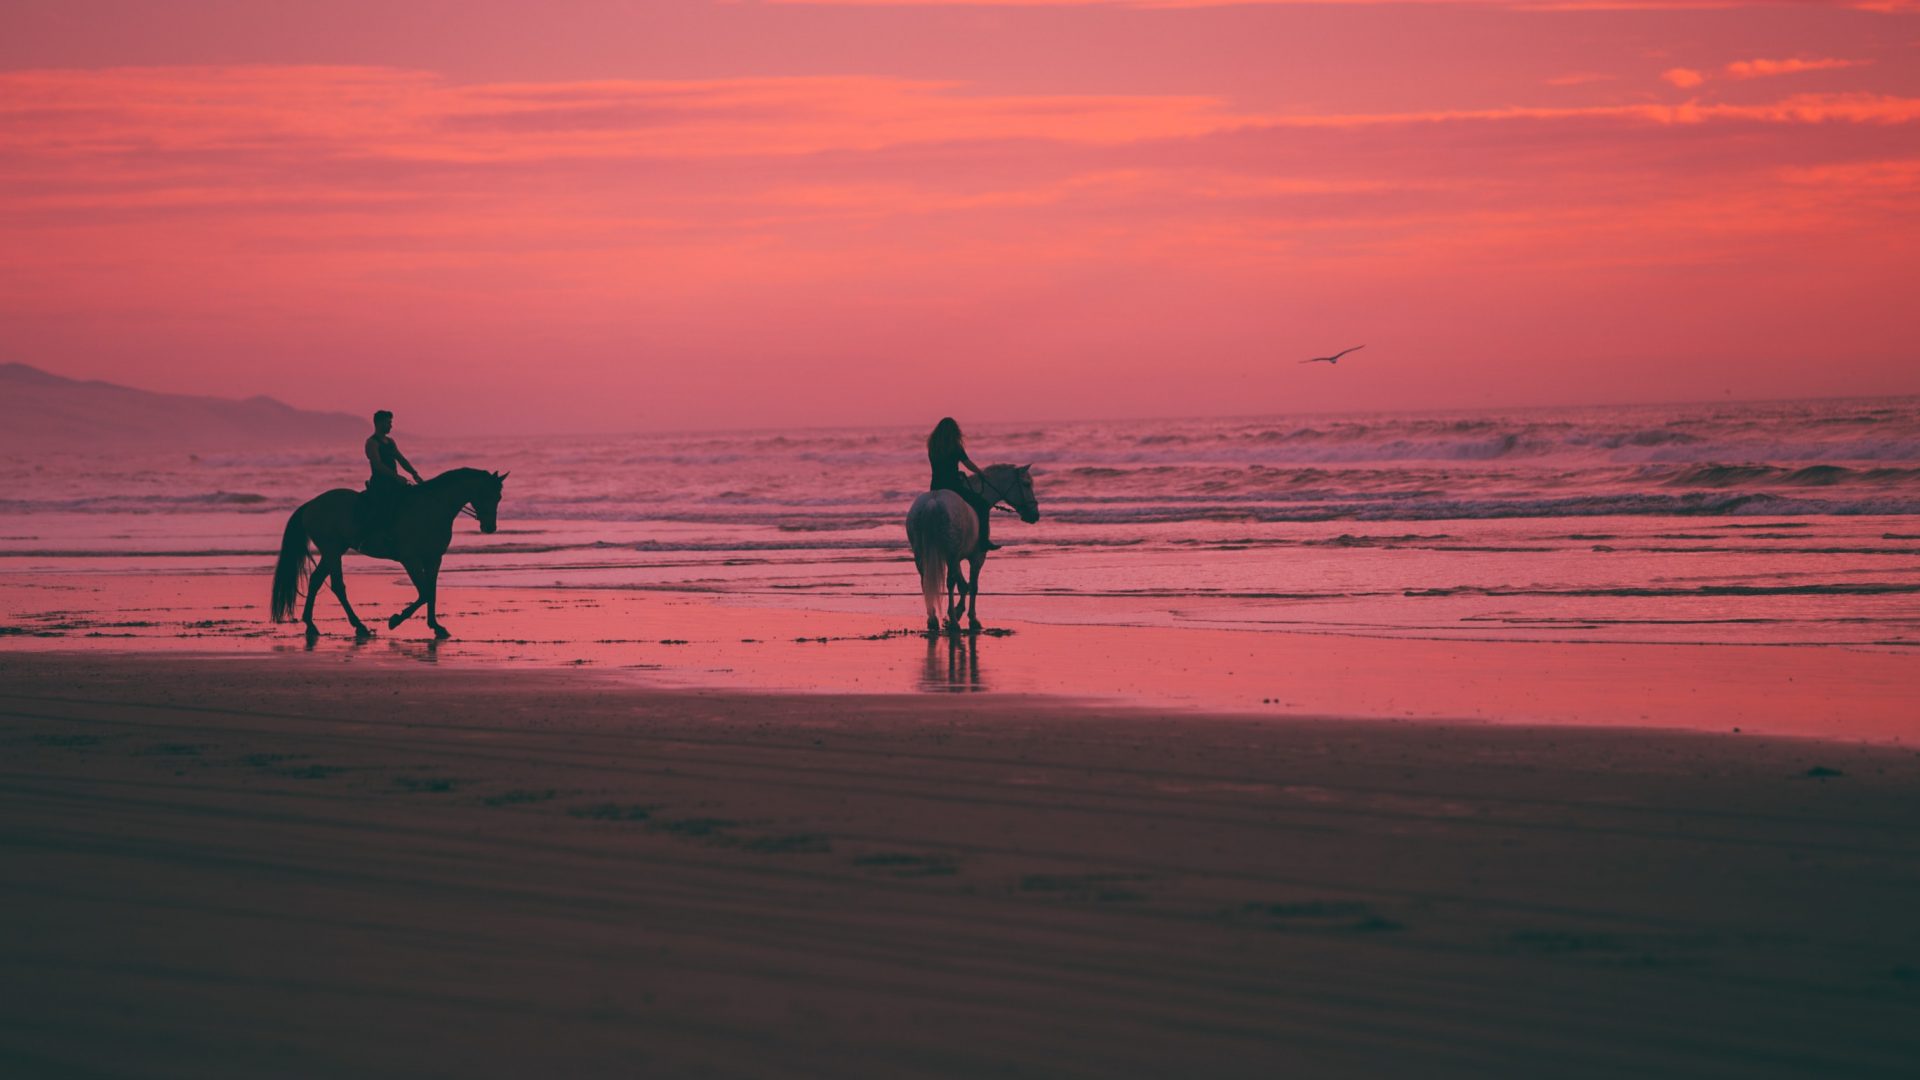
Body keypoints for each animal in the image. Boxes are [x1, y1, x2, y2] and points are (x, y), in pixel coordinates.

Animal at [274, 466, 510, 634]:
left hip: (335, 550)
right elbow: (424, 592)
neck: (433, 508)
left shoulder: (434, 559)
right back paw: (359, 626)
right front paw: (395, 620)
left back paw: (311, 625)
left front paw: (436, 627)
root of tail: (311, 504)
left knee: (315, 580)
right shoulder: (410, 559)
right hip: (332, 550)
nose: (490, 527)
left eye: (499, 497)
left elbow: (431, 592)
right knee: (337, 586)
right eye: (487, 494)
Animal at [902, 461, 1036, 630]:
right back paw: (953, 622)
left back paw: (933, 620)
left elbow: (963, 585)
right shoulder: (976, 557)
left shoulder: (956, 559)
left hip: (921, 554)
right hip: (951, 555)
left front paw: (957, 611)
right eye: (1026, 484)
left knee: (926, 581)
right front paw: (971, 618)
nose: (1034, 515)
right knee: (950, 583)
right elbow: (972, 586)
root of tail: (933, 501)